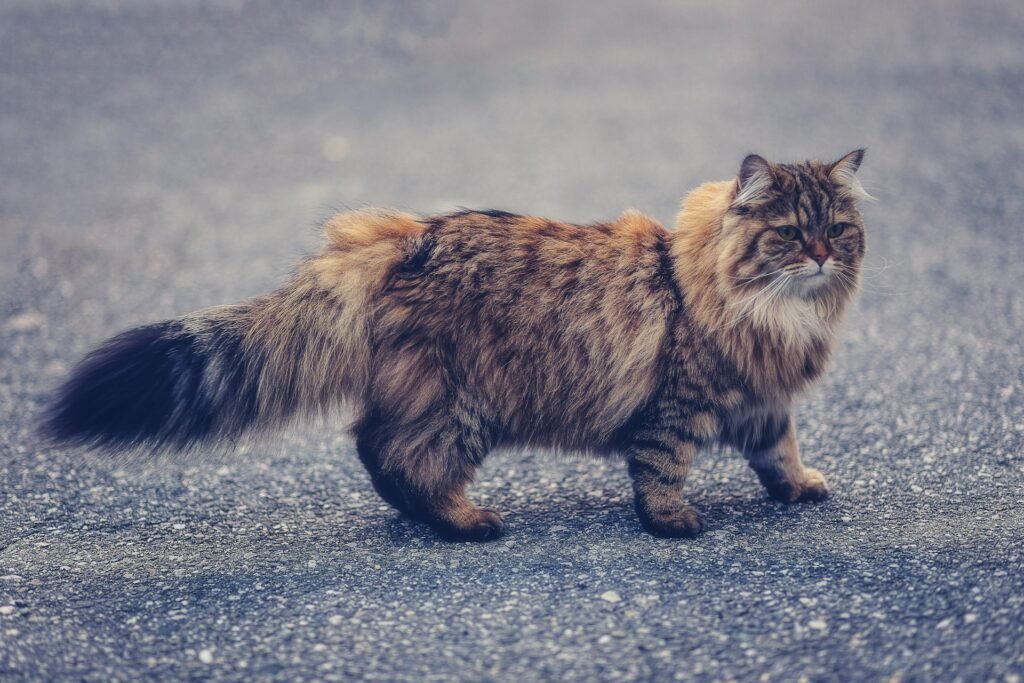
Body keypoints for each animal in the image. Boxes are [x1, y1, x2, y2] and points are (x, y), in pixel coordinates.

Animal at [44, 152, 868, 540]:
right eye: (788, 233)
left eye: (840, 228)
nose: (822, 254)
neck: (781, 313)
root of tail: (406, 237)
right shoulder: (677, 403)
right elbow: (663, 470)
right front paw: (672, 522)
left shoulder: (762, 400)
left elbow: (781, 450)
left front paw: (798, 486)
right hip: (463, 405)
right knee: (404, 456)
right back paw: (466, 522)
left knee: (374, 447)